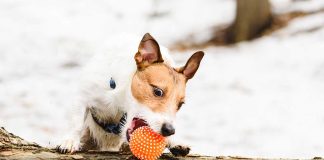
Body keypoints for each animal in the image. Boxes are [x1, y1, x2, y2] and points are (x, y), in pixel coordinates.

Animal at [57, 32, 204, 156]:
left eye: (180, 104)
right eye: (158, 91)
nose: (170, 130)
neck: (119, 99)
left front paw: (173, 140)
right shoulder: (83, 97)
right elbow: (76, 123)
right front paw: (70, 141)